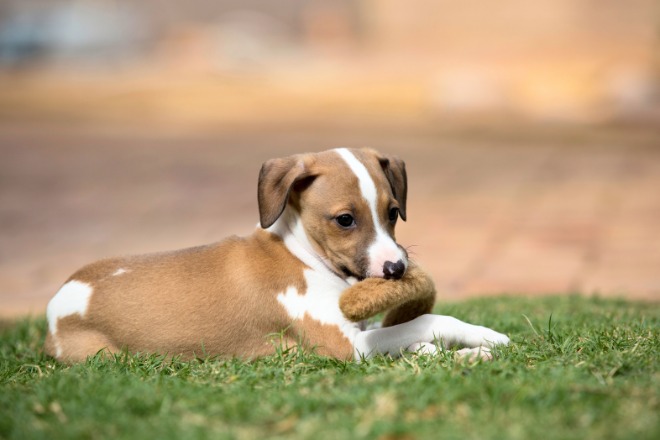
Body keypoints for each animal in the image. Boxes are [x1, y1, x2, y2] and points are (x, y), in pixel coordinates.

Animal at [45, 150, 510, 362]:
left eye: (393, 212)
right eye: (344, 219)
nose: (395, 270)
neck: (302, 255)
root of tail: (56, 304)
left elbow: (413, 335)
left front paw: (459, 354)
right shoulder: (346, 346)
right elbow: (426, 320)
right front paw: (485, 336)